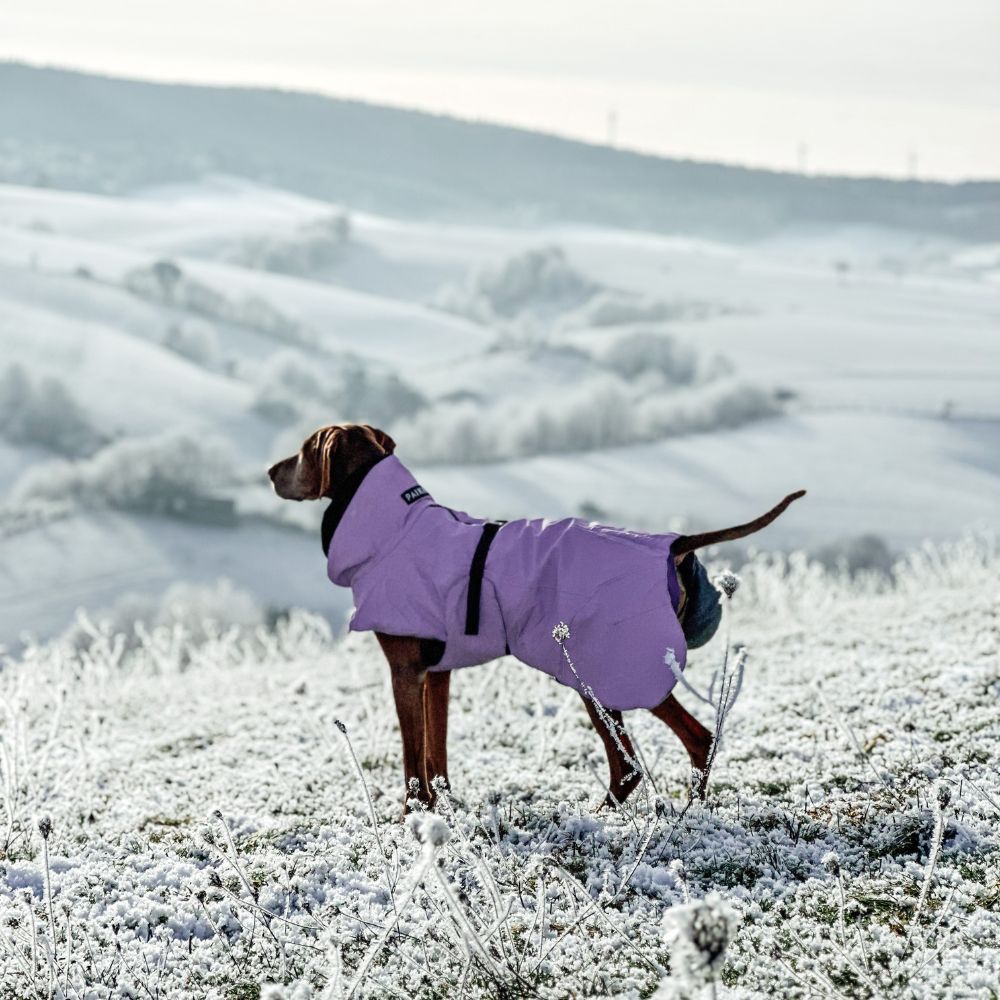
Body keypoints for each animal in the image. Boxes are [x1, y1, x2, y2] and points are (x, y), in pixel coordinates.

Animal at [268, 422, 804, 812]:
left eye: (304, 449)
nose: (271, 471)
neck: (394, 526)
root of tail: (671, 545)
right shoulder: (437, 673)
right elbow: (436, 753)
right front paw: (445, 811)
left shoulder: (404, 671)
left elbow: (411, 760)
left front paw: (412, 816)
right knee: (676, 746)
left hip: (605, 669)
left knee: (647, 757)